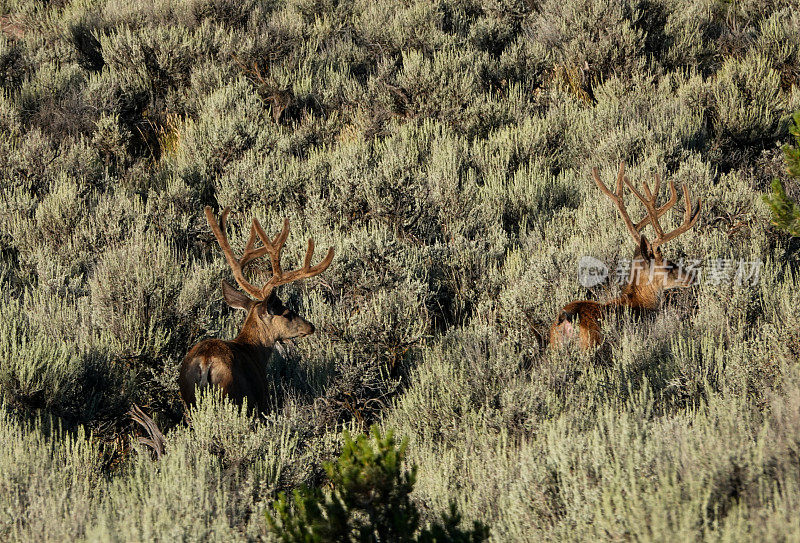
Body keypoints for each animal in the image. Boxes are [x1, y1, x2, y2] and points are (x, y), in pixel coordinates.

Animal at [179, 206, 334, 414]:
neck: (253, 352)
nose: (310, 326)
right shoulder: (261, 399)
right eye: (285, 312)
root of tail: (206, 362)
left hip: (187, 398)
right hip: (233, 393)